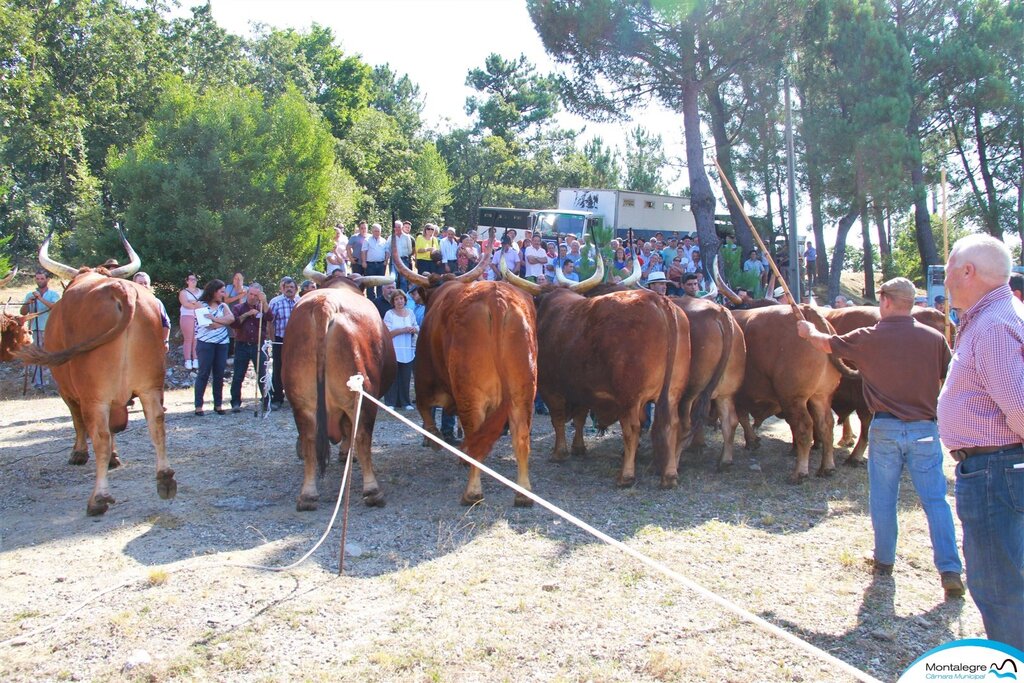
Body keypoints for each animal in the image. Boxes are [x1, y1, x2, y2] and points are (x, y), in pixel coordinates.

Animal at [14, 229, 176, 511]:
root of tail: (121, 289)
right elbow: (115, 427)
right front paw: (115, 457)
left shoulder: (67, 388)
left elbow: (78, 421)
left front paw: (79, 453)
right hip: (150, 386)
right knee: (156, 423)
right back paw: (165, 479)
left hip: (95, 394)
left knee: (98, 434)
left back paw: (98, 498)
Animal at [288, 242, 399, 509]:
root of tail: (324, 304)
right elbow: (352, 433)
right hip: (362, 394)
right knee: (362, 435)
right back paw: (372, 490)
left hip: (301, 401)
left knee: (308, 439)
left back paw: (307, 494)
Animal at [393, 237, 540, 505]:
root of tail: (496, 298)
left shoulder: (424, 380)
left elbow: (426, 411)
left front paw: (435, 441)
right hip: (523, 393)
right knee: (521, 437)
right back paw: (523, 493)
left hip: (470, 393)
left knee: (475, 438)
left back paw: (472, 492)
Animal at [501, 259, 692, 489]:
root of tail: (658, 300)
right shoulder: (582, 388)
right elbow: (580, 418)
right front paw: (579, 447)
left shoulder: (550, 388)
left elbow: (558, 419)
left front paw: (559, 452)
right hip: (672, 393)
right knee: (671, 425)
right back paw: (670, 475)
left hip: (630, 398)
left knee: (632, 429)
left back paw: (626, 476)